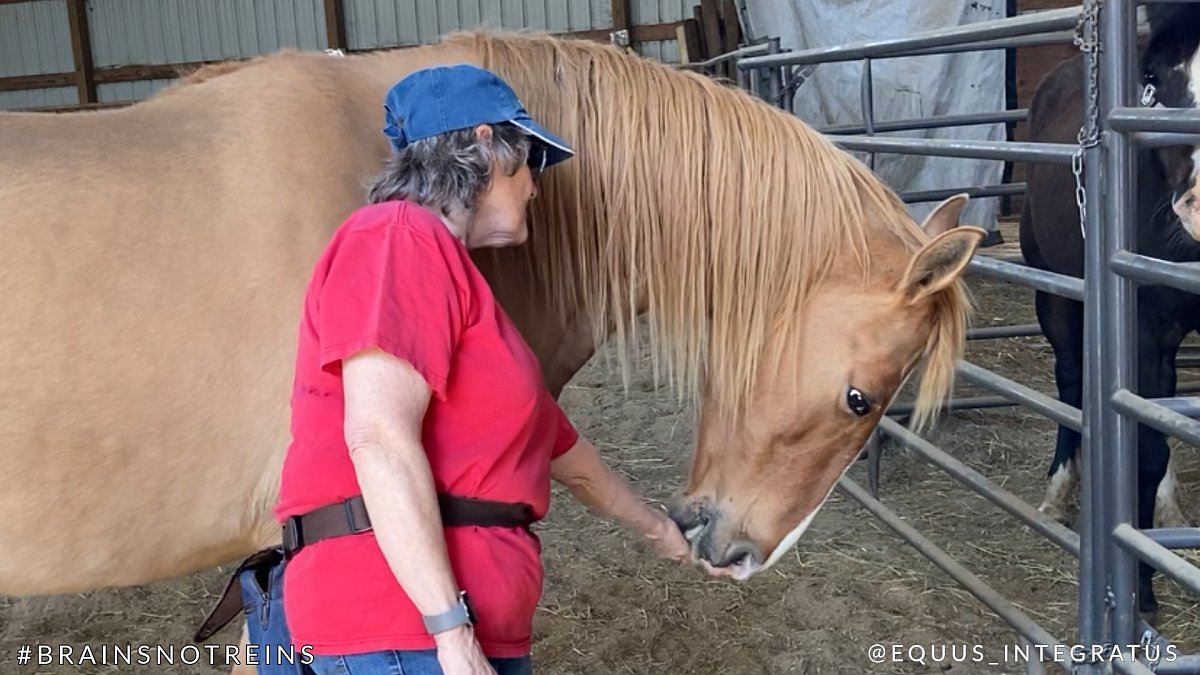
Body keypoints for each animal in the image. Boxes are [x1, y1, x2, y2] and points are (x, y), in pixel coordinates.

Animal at [1019, 4, 1200, 624]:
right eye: (1155, 78)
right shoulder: (1144, 330)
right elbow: (1142, 452)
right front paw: (1142, 591)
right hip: (1055, 293)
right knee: (1073, 380)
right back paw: (1058, 494)